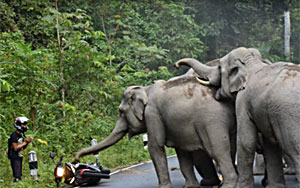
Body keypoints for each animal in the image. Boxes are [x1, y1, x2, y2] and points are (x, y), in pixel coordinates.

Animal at [74, 71, 238, 187]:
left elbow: (155, 146)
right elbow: (182, 152)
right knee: (231, 148)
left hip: (211, 121)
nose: (76, 159)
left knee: (217, 150)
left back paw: (228, 185)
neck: (145, 89)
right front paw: (190, 187)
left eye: (120, 111)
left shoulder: (152, 114)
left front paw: (162, 187)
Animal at [175, 46, 300, 188]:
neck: (251, 63)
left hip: (288, 114)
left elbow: (246, 141)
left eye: (219, 67)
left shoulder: (242, 100)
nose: (176, 65)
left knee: (294, 150)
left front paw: (242, 186)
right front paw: (273, 186)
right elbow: (269, 145)